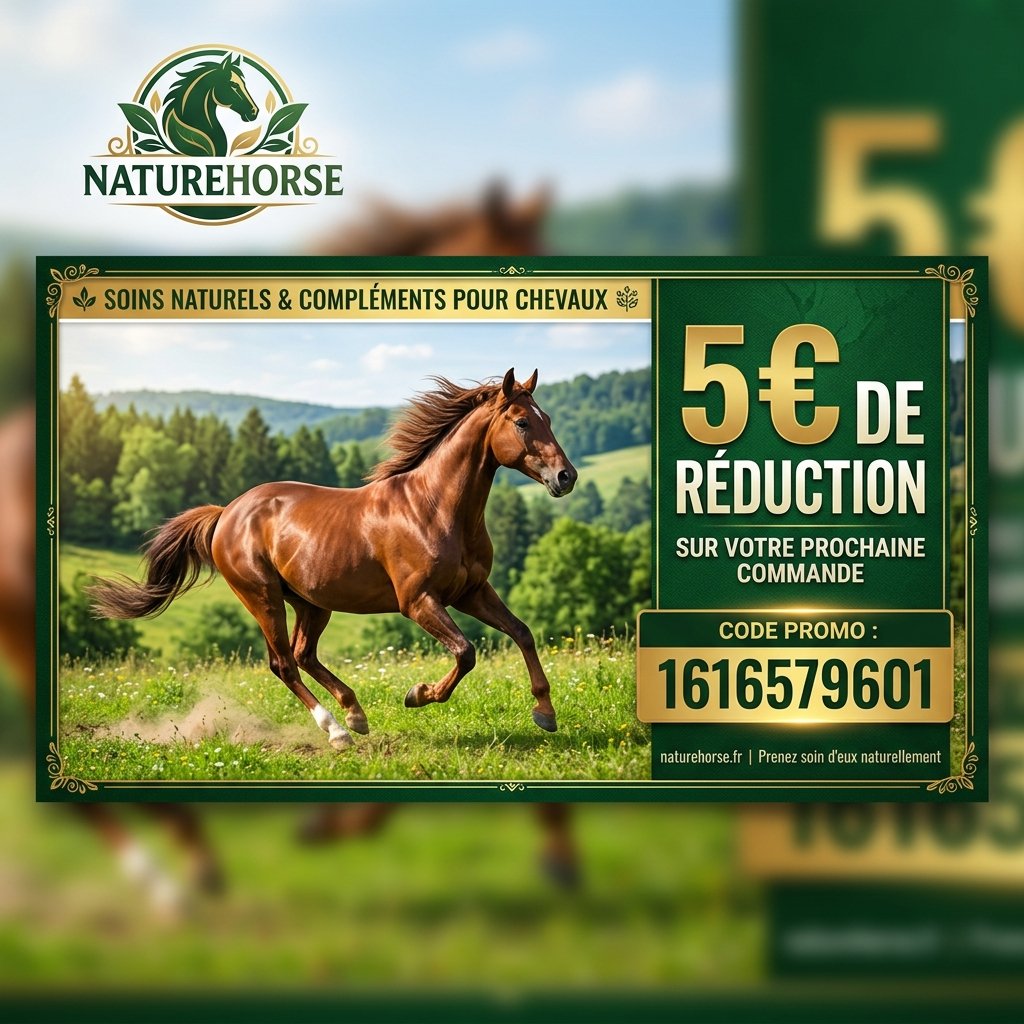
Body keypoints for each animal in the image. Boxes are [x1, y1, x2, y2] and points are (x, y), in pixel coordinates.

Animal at [90, 369, 577, 750]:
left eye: (547, 419)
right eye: (521, 422)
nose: (566, 477)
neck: (435, 508)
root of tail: (226, 513)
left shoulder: (472, 592)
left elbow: (522, 632)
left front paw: (545, 713)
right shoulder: (418, 601)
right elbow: (466, 652)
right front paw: (417, 694)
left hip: (311, 602)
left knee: (304, 655)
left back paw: (355, 714)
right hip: (263, 597)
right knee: (284, 663)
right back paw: (336, 731)